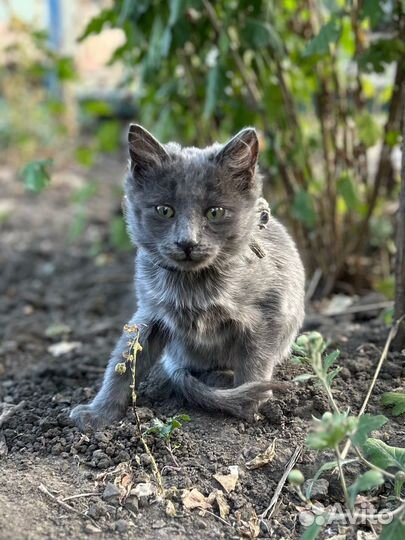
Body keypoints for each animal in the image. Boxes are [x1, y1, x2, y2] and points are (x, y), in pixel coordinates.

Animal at [70, 123, 304, 430]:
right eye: (164, 210)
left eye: (215, 212)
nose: (187, 242)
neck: (193, 285)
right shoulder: (150, 312)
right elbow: (124, 362)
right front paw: (99, 413)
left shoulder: (269, 311)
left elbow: (255, 362)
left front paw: (251, 405)